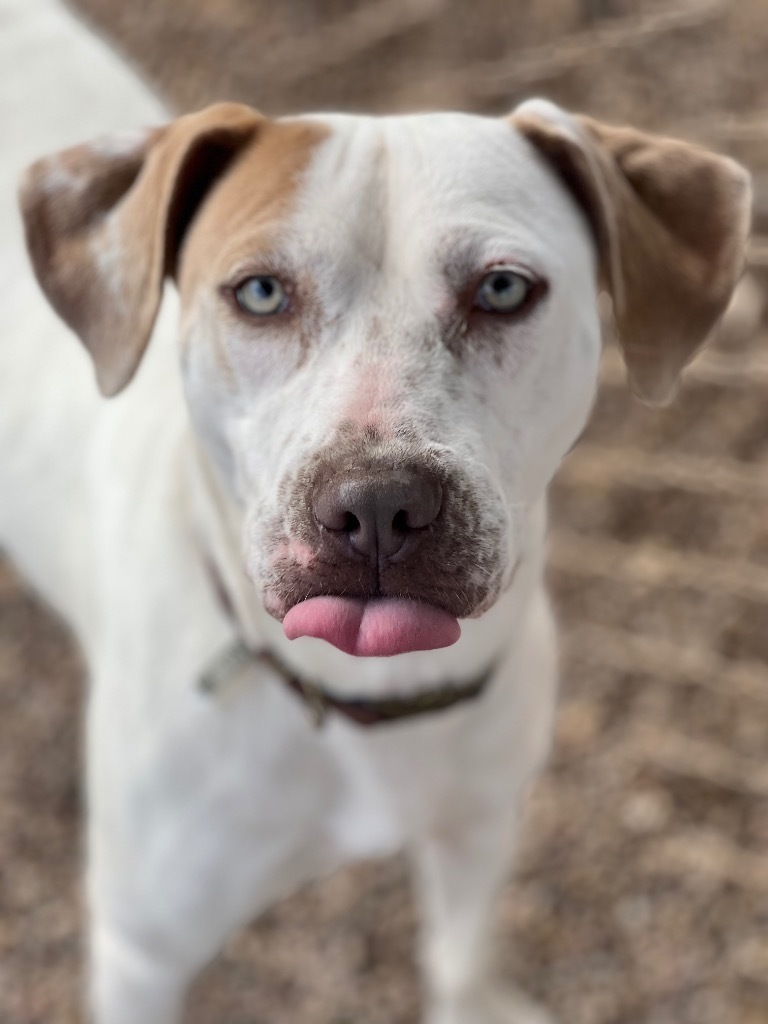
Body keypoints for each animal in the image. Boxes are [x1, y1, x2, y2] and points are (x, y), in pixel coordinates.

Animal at [0, 2, 753, 1024]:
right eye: (261, 292)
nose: (377, 506)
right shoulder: (142, 952)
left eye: (503, 288)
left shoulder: (480, 826)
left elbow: (460, 961)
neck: (367, 704)